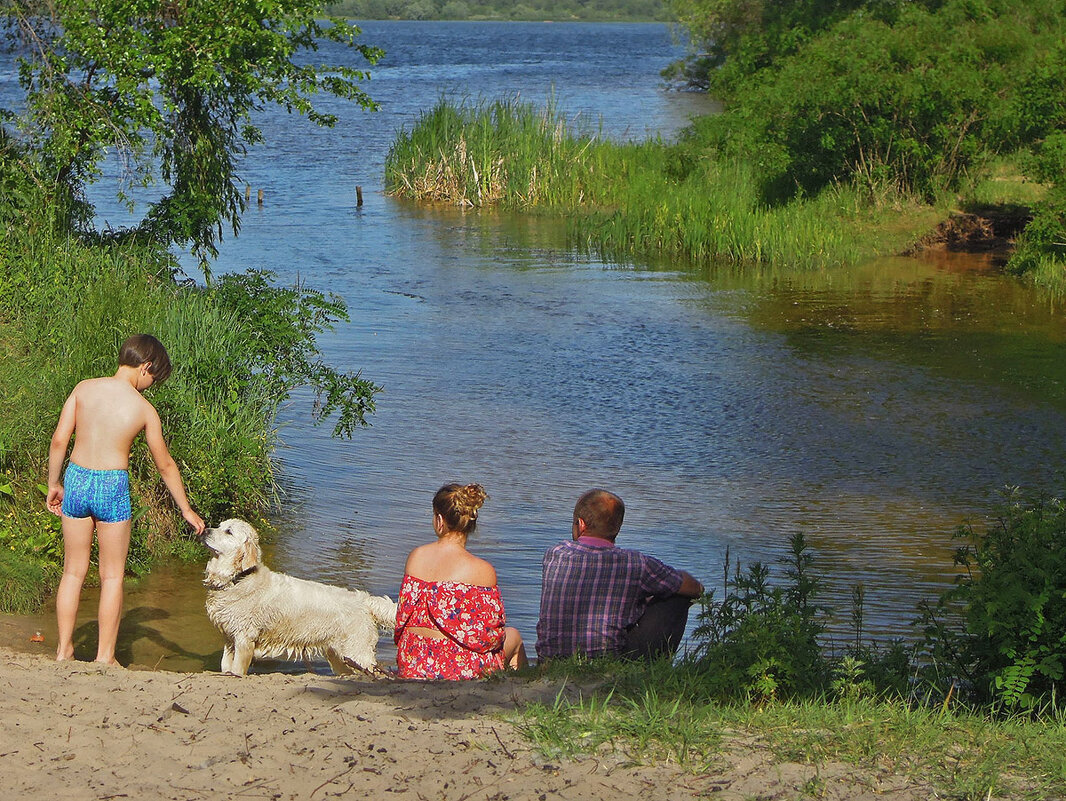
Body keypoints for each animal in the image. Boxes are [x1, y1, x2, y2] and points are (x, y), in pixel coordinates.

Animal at [201, 520, 398, 678]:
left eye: (229, 531)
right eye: (219, 526)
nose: (205, 530)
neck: (237, 579)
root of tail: (363, 599)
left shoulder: (244, 639)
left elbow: (237, 670)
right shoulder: (229, 638)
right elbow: (225, 666)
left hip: (357, 651)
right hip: (339, 656)